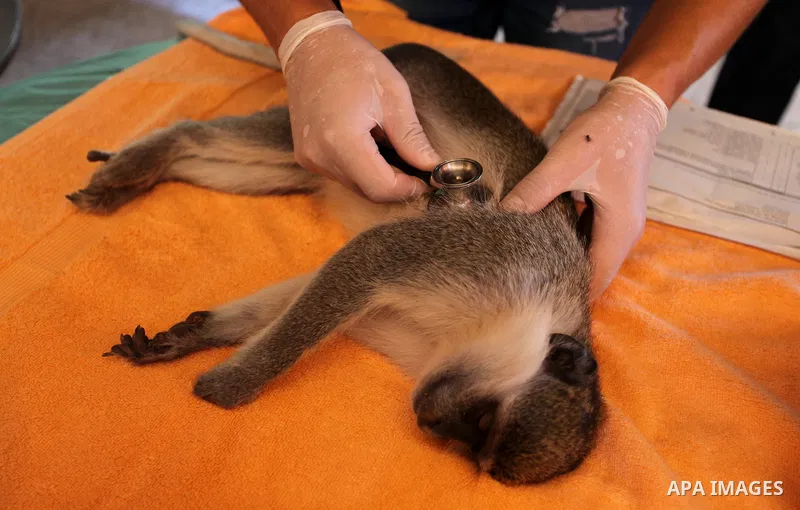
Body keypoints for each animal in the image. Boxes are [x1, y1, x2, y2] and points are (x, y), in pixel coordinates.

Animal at [67, 25, 603, 486]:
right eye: (483, 421)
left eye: (474, 452)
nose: (429, 422)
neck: (524, 319)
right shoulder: (501, 256)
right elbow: (367, 256)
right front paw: (225, 387)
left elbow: (312, 287)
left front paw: (193, 336)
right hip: (339, 119)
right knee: (211, 135)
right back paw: (153, 152)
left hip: (315, 163)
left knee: (228, 164)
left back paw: (145, 171)